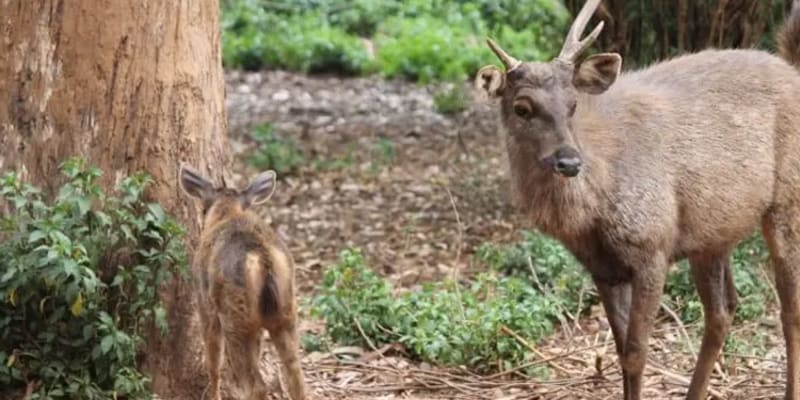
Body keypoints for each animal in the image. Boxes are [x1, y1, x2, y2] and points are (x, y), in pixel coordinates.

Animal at [179, 165, 307, 400]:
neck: (228, 212)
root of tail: (263, 258)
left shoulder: (204, 302)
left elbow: (213, 362)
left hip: (234, 316)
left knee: (255, 384)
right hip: (286, 312)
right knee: (295, 373)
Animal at [475, 0, 800, 399]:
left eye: (573, 104)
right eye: (522, 107)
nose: (569, 161)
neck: (592, 212)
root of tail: (791, 69)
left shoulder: (652, 248)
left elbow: (636, 353)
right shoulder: (602, 268)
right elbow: (619, 351)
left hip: (786, 200)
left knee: (788, 309)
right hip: (711, 235)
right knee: (723, 311)